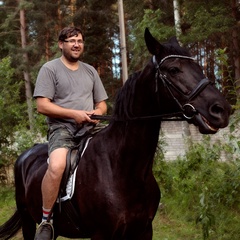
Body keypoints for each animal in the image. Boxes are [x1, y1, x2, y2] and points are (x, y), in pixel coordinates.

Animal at [0, 29, 231, 239]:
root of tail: (25, 156)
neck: (124, 168)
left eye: (198, 66)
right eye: (173, 69)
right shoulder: (102, 234)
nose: (221, 109)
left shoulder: (143, 230)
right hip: (29, 220)